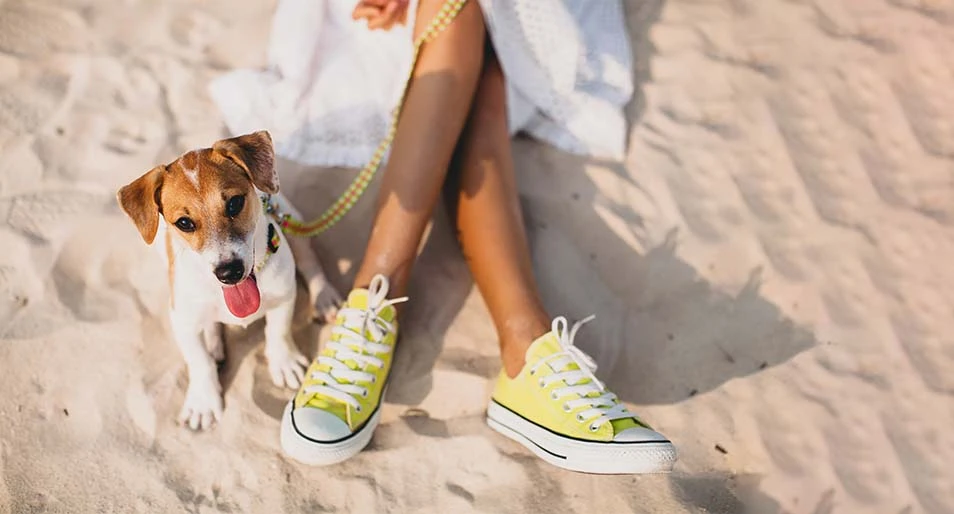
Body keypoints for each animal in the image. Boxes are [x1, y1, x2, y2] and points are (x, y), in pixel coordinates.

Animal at [115, 129, 340, 428]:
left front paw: (284, 362)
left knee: (310, 261)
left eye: (234, 203)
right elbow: (199, 361)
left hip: (293, 219)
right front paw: (203, 401)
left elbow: (278, 331)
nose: (229, 272)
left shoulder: (284, 294)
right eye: (184, 223)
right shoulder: (183, 322)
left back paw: (324, 296)